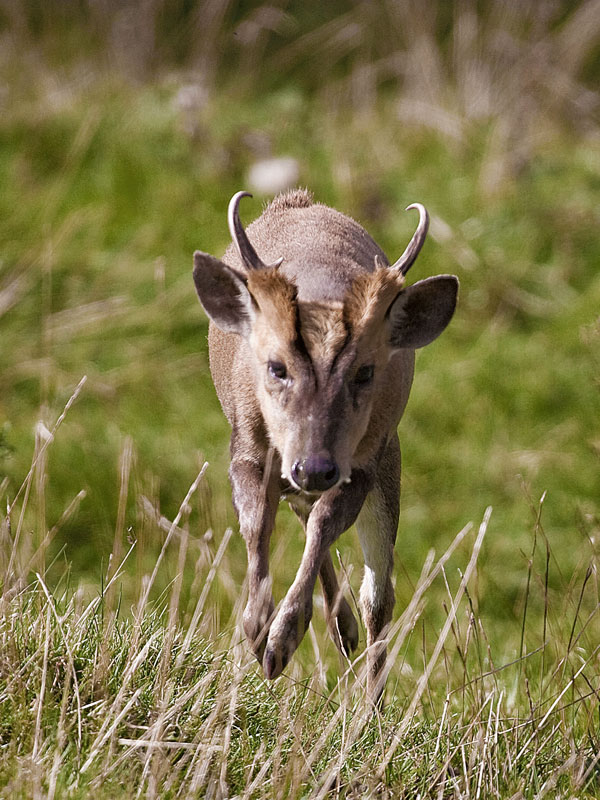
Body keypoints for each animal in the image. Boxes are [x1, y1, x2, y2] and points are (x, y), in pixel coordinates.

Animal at [195, 189, 458, 700]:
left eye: (365, 372)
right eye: (276, 367)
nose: (315, 467)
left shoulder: (365, 461)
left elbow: (325, 525)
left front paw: (281, 639)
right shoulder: (246, 445)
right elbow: (257, 523)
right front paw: (257, 628)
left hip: (387, 460)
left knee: (379, 595)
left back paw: (367, 696)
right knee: (299, 509)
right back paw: (340, 629)